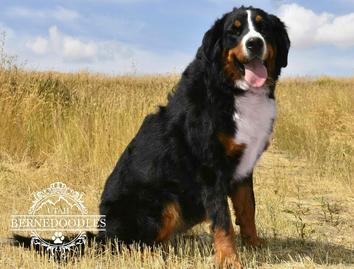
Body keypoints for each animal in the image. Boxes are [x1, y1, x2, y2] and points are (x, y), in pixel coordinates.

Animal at [98, 5, 290, 266]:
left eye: (263, 27)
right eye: (234, 31)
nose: (254, 43)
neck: (232, 90)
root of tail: (100, 231)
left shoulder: (243, 167)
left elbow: (248, 208)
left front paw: (254, 244)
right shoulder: (210, 168)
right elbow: (223, 220)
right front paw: (229, 260)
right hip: (163, 201)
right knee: (126, 244)